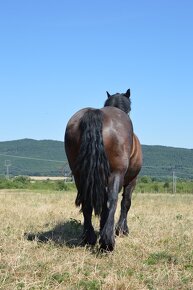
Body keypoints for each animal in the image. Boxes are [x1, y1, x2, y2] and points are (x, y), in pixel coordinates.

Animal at [64, 89, 142, 250]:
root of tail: (95, 113)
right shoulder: (132, 180)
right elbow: (126, 203)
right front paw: (121, 230)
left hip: (79, 175)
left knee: (87, 202)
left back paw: (89, 238)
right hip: (116, 173)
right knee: (112, 200)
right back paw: (108, 242)